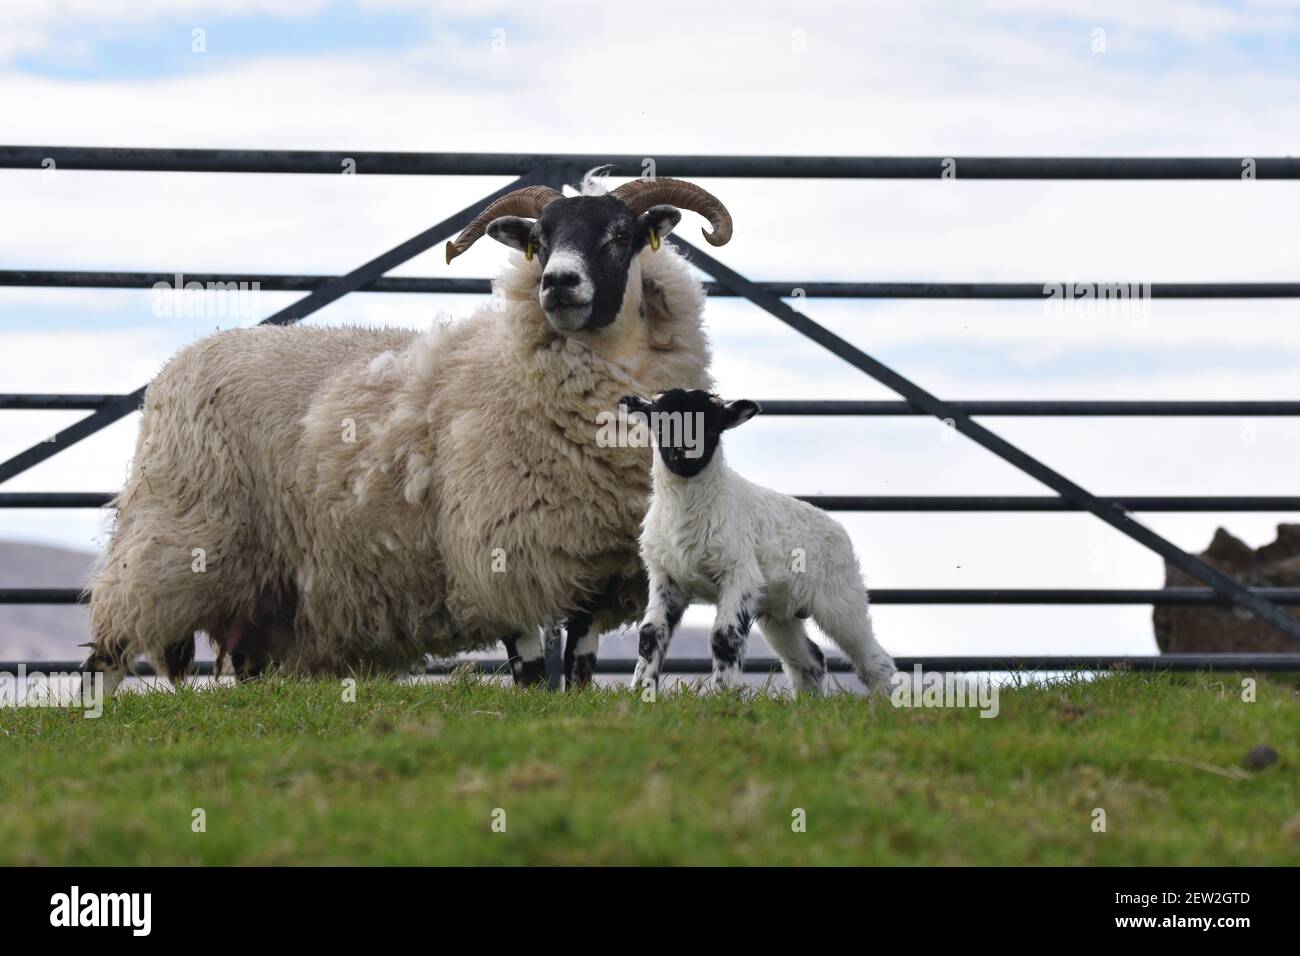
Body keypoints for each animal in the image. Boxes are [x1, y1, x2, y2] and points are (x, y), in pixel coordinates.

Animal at [81, 171, 733, 697]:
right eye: (539, 242)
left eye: (620, 236)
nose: (558, 284)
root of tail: (178, 363)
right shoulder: (495, 547)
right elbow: (527, 669)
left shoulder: (600, 563)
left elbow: (578, 666)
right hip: (173, 535)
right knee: (110, 646)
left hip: (264, 590)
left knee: (244, 664)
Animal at [618, 390, 894, 697]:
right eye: (662, 425)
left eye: (712, 429)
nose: (686, 454)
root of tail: (837, 527)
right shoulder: (665, 576)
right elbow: (651, 632)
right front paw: (641, 692)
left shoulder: (740, 573)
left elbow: (724, 636)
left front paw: (721, 696)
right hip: (780, 612)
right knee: (810, 660)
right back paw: (808, 703)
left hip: (840, 597)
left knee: (872, 657)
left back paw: (885, 700)